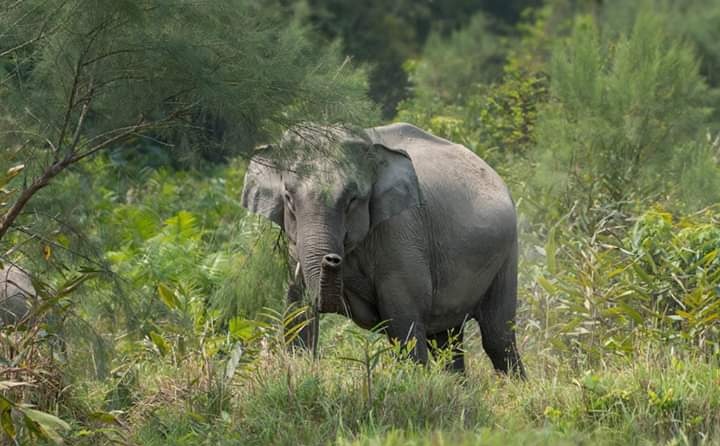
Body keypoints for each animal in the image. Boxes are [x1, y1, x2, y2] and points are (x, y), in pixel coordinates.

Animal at [242, 123, 524, 376]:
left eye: (352, 199)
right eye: (288, 198)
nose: (331, 259)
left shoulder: (401, 233)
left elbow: (403, 323)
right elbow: (297, 316)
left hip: (507, 255)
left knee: (497, 337)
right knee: (446, 341)